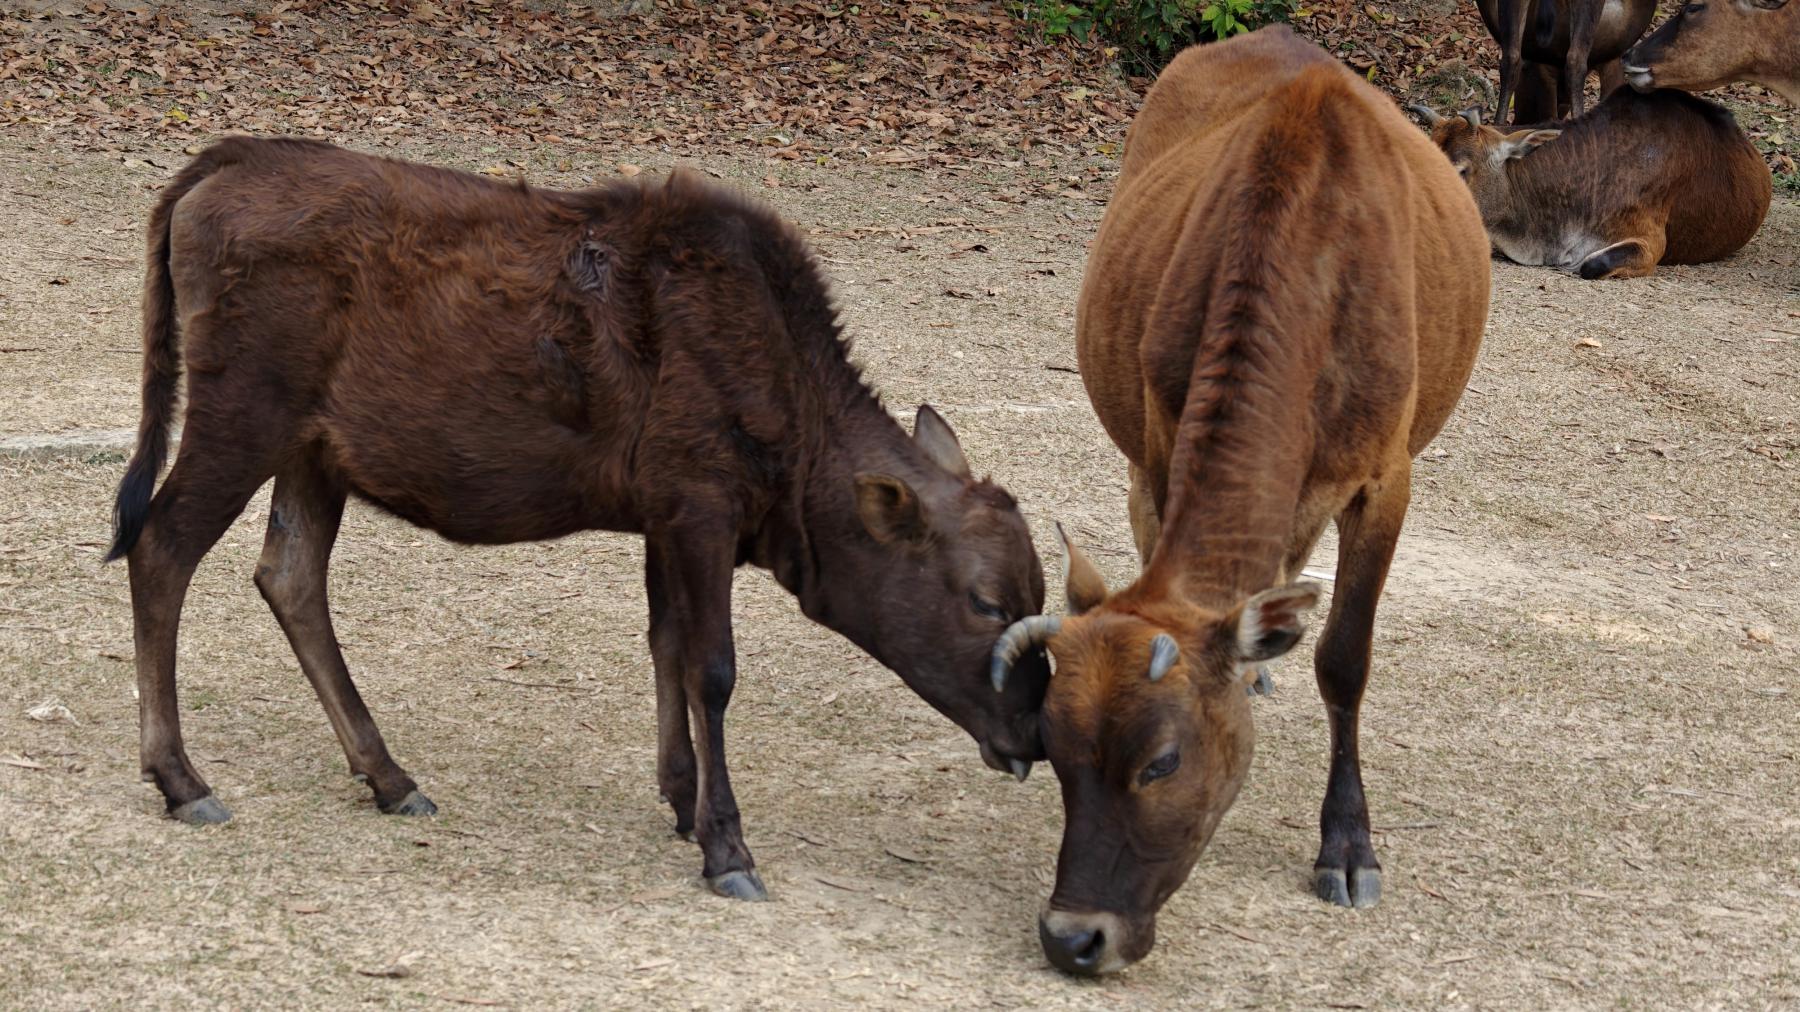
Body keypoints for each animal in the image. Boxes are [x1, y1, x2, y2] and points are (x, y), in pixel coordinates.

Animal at [106, 137, 1051, 902]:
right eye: (987, 602)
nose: (1036, 735)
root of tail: (215, 167)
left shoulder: (662, 516)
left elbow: (666, 646)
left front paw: (681, 799)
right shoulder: (701, 503)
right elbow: (711, 668)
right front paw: (727, 847)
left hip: (314, 448)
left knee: (288, 575)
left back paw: (389, 775)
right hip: (244, 412)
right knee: (159, 546)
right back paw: (183, 780)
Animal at [985, 27, 1490, 975]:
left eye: (1162, 762)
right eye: (1053, 748)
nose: (1074, 936)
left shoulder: (1388, 475)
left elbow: (1345, 657)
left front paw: (1348, 848)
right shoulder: (1157, 440)